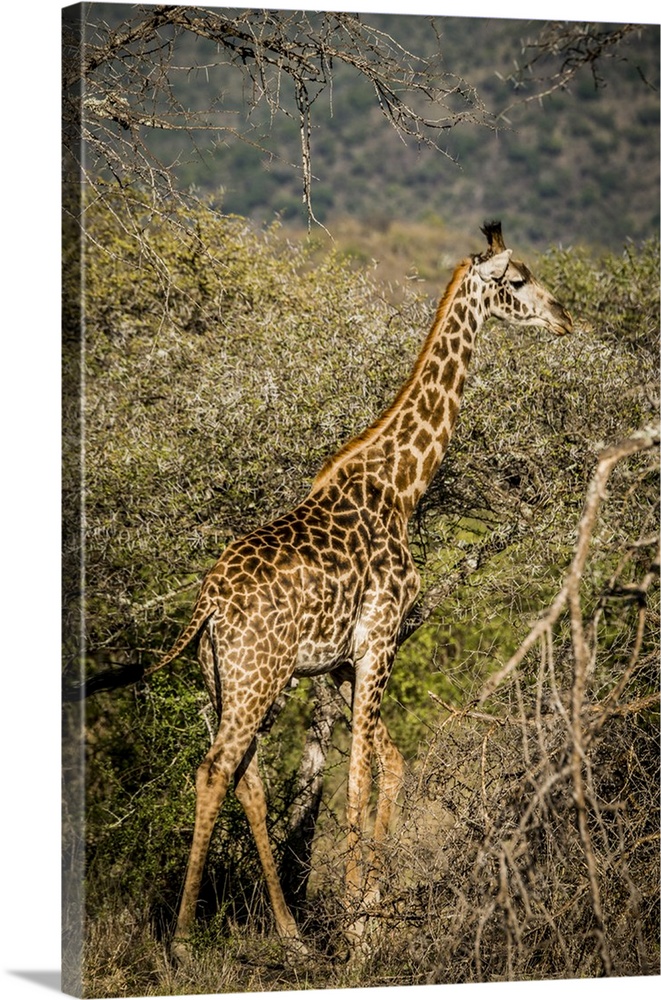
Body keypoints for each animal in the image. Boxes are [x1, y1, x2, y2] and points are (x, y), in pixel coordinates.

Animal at [143, 221, 568, 960]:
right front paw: (358, 930)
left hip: (224, 678)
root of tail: (208, 604)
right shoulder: (379, 639)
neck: (400, 485)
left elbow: (383, 763)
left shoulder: (341, 660)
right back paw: (186, 940)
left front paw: (368, 913)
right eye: (518, 281)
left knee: (247, 776)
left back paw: (290, 934)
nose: (565, 317)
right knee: (215, 769)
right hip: (257, 677)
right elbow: (355, 777)